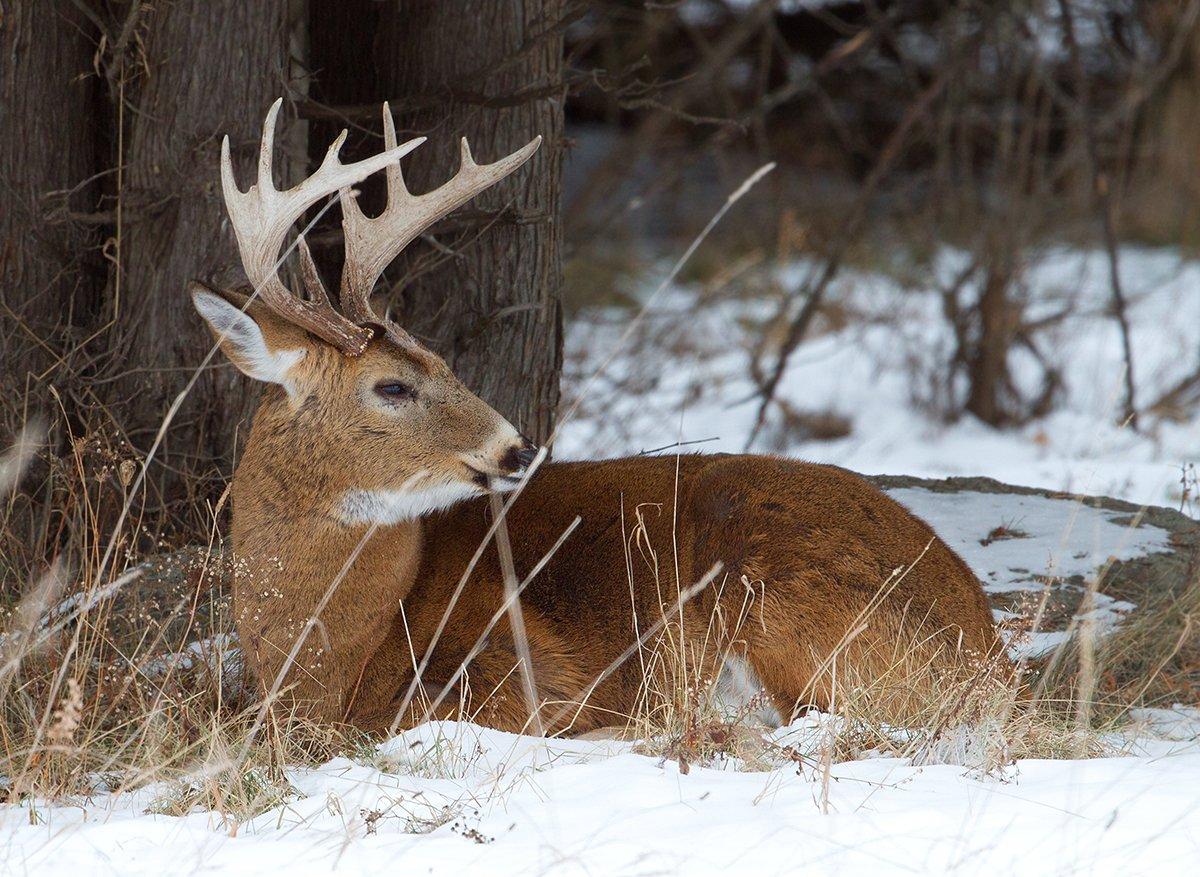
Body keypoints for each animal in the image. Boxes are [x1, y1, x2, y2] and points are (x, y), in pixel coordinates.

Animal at [196, 99, 1003, 739]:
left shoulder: (515, 666)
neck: (330, 651)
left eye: (445, 361)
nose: (517, 447)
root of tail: (986, 642)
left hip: (763, 587)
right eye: (393, 385)